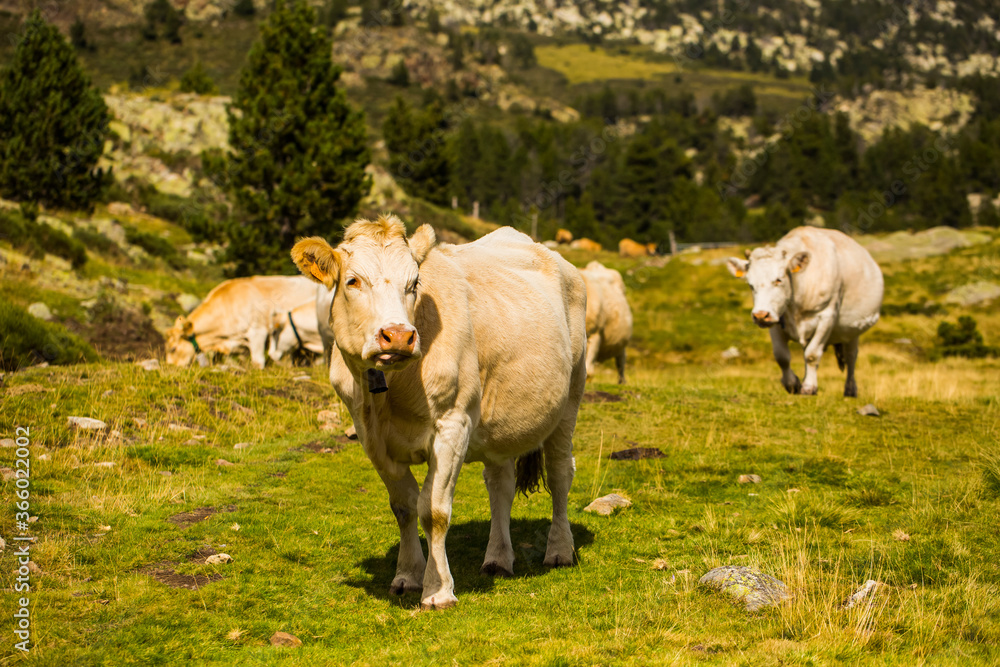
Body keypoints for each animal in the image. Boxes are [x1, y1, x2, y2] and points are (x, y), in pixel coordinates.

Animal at [290, 214, 587, 610]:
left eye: (414, 283)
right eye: (352, 281)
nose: (398, 336)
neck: (391, 393)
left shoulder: (453, 425)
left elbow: (433, 511)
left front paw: (438, 589)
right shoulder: (371, 438)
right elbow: (403, 506)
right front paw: (406, 576)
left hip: (570, 398)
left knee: (559, 474)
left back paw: (559, 550)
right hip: (501, 422)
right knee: (501, 484)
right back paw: (497, 558)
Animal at [726, 226, 883, 397]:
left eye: (779, 280)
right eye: (750, 284)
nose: (760, 315)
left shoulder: (827, 317)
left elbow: (812, 354)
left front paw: (809, 387)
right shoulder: (775, 319)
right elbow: (781, 355)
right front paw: (792, 384)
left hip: (852, 331)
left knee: (851, 356)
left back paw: (850, 389)